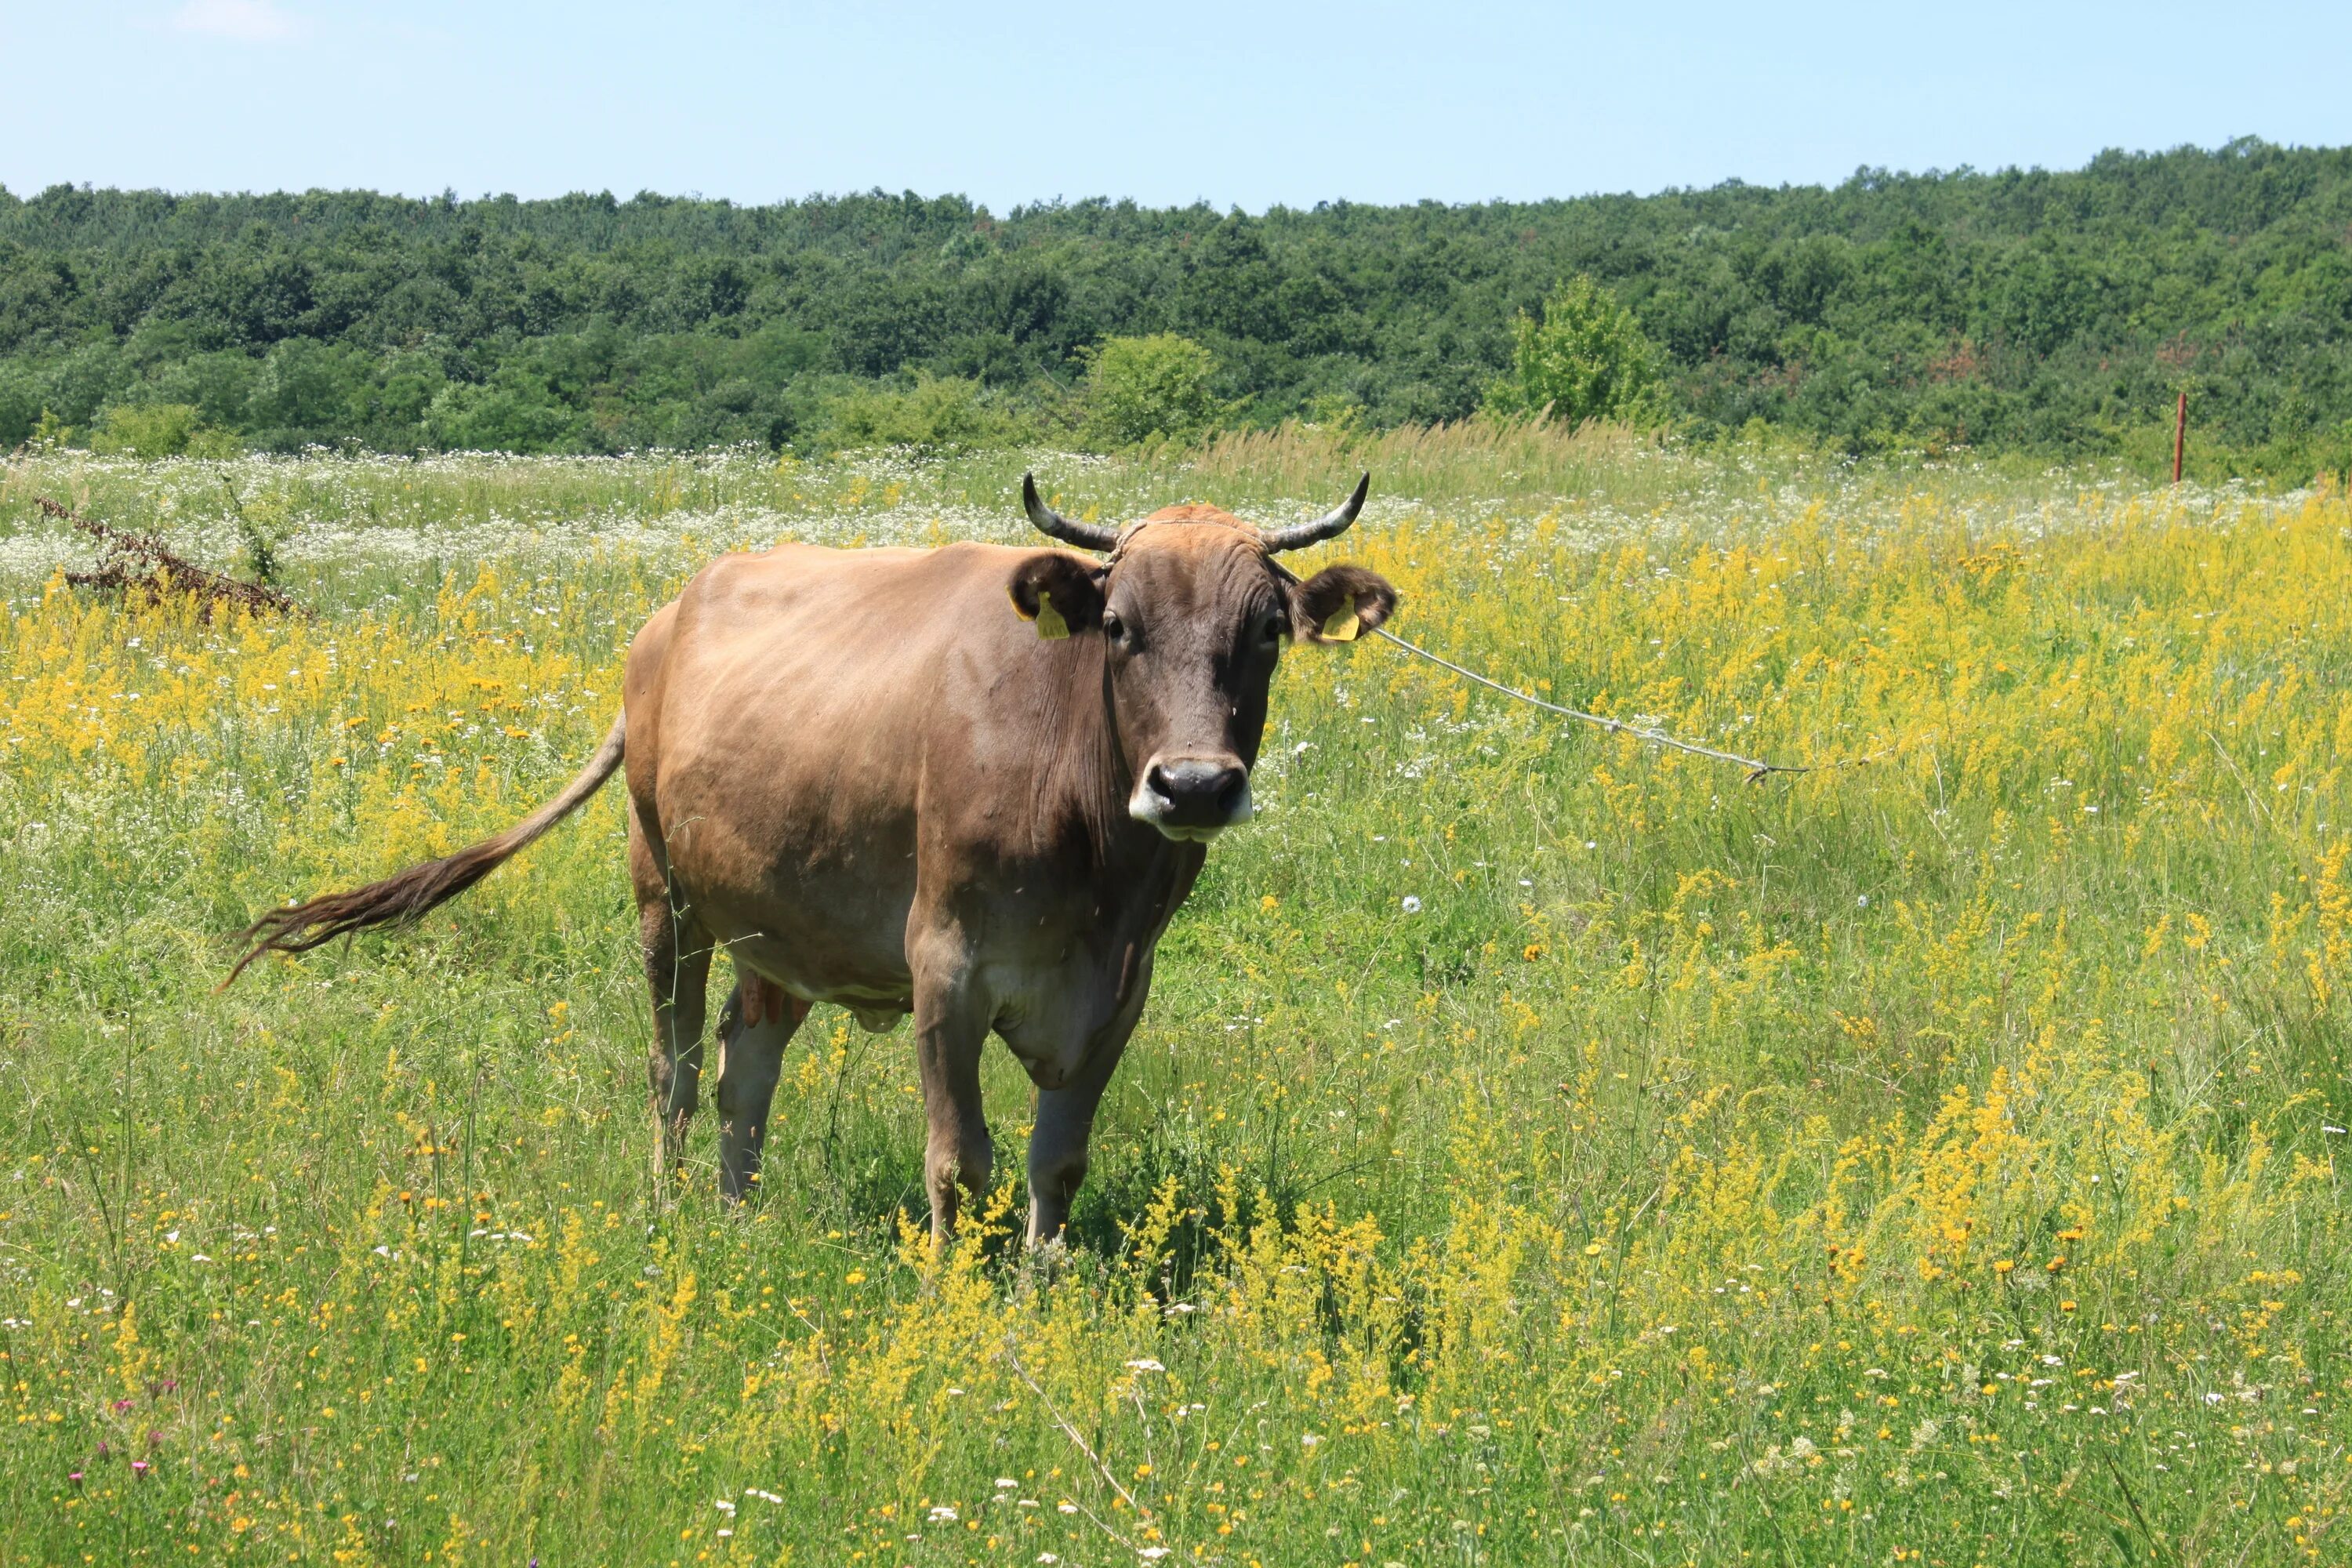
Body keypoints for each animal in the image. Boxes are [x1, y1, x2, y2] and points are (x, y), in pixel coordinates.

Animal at [234, 472, 1392, 1241]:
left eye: (1268, 630)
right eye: (1118, 625)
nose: (1193, 785)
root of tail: (667, 617)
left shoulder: (1119, 989)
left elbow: (1057, 1162)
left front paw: (1040, 1300)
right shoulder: (947, 966)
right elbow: (959, 1163)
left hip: (775, 918)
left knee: (745, 1063)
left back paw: (738, 1218)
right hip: (664, 896)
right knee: (674, 1067)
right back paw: (667, 1208)